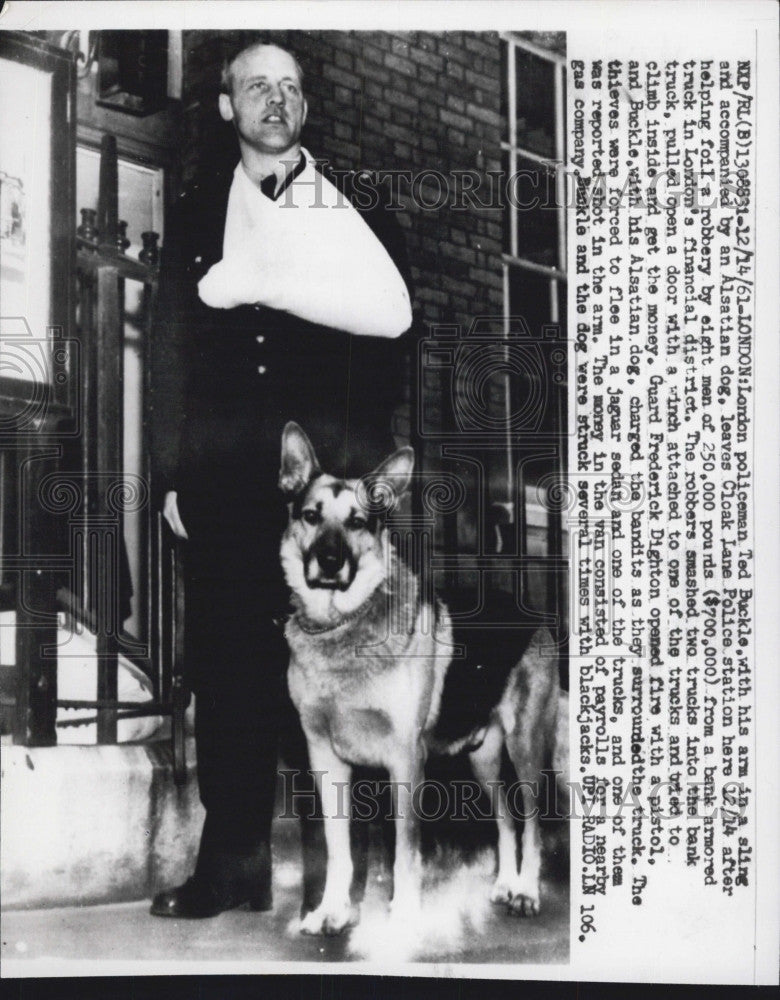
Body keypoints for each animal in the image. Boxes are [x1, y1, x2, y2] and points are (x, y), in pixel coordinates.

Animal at [280, 422, 560, 936]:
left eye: (358, 523)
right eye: (311, 516)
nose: (329, 562)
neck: (344, 627)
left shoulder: (406, 762)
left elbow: (405, 853)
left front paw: (404, 916)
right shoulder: (325, 760)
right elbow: (338, 849)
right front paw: (332, 910)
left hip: (526, 747)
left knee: (531, 821)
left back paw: (527, 890)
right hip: (482, 759)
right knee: (507, 819)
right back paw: (505, 883)